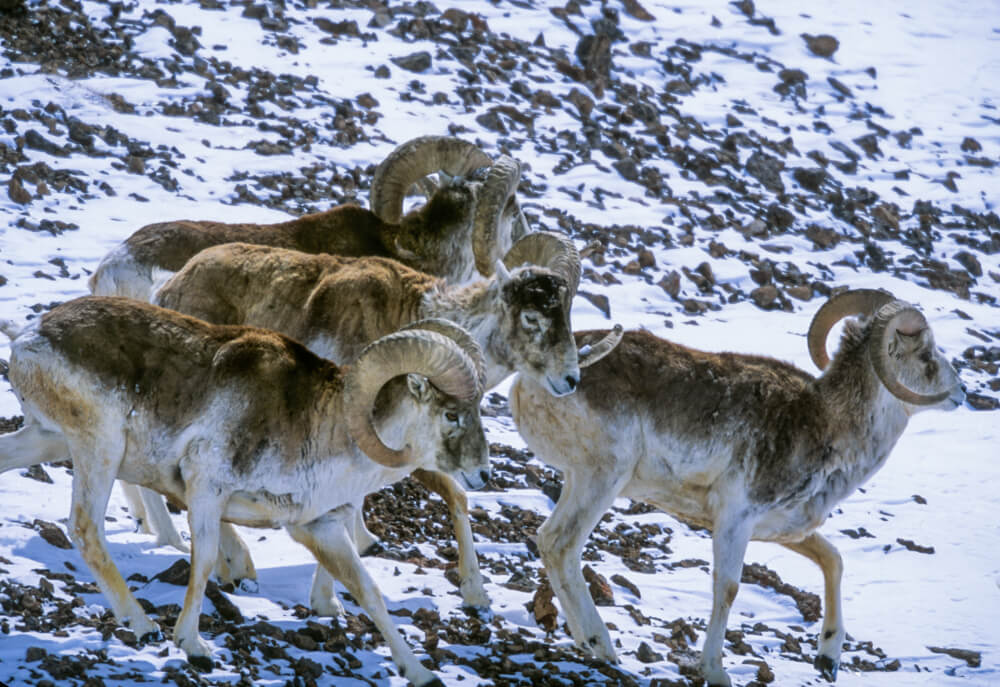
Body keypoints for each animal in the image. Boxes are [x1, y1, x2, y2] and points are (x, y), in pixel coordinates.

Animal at [0, 296, 484, 687]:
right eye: (452, 414)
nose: (483, 472)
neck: (321, 430)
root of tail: (28, 337)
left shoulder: (322, 528)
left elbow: (370, 594)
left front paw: (420, 674)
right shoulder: (207, 489)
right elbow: (205, 561)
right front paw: (193, 646)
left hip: (47, 440)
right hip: (98, 447)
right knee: (85, 528)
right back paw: (143, 625)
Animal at [152, 231, 584, 612]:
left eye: (566, 314)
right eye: (532, 317)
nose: (570, 380)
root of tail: (169, 285)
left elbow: (454, 496)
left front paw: (475, 594)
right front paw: (328, 599)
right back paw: (235, 567)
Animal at [512, 290, 964, 687]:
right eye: (926, 356)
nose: (961, 391)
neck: (826, 425)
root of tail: (535, 379)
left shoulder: (780, 529)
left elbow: (833, 561)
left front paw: (827, 660)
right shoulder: (735, 521)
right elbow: (727, 589)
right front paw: (716, 672)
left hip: (580, 480)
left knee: (550, 544)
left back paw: (587, 643)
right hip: (603, 478)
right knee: (560, 543)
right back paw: (600, 644)